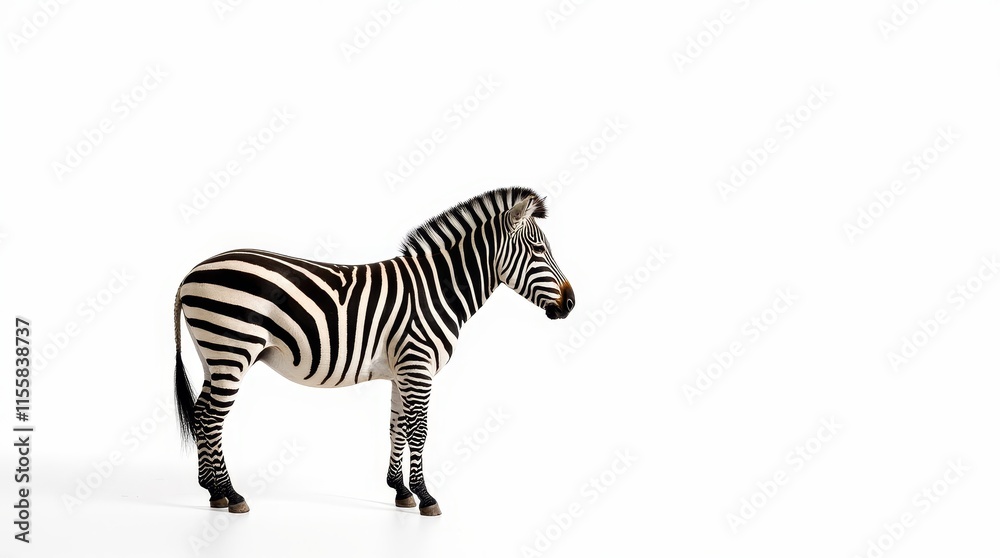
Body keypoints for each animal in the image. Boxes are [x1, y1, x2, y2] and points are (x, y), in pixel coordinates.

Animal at [173, 187, 575, 516]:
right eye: (539, 250)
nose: (570, 303)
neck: (438, 289)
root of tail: (191, 272)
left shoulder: (403, 370)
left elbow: (397, 426)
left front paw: (401, 491)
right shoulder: (418, 365)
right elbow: (419, 430)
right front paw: (426, 497)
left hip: (211, 354)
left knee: (201, 413)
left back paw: (213, 492)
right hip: (231, 348)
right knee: (212, 419)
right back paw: (232, 494)